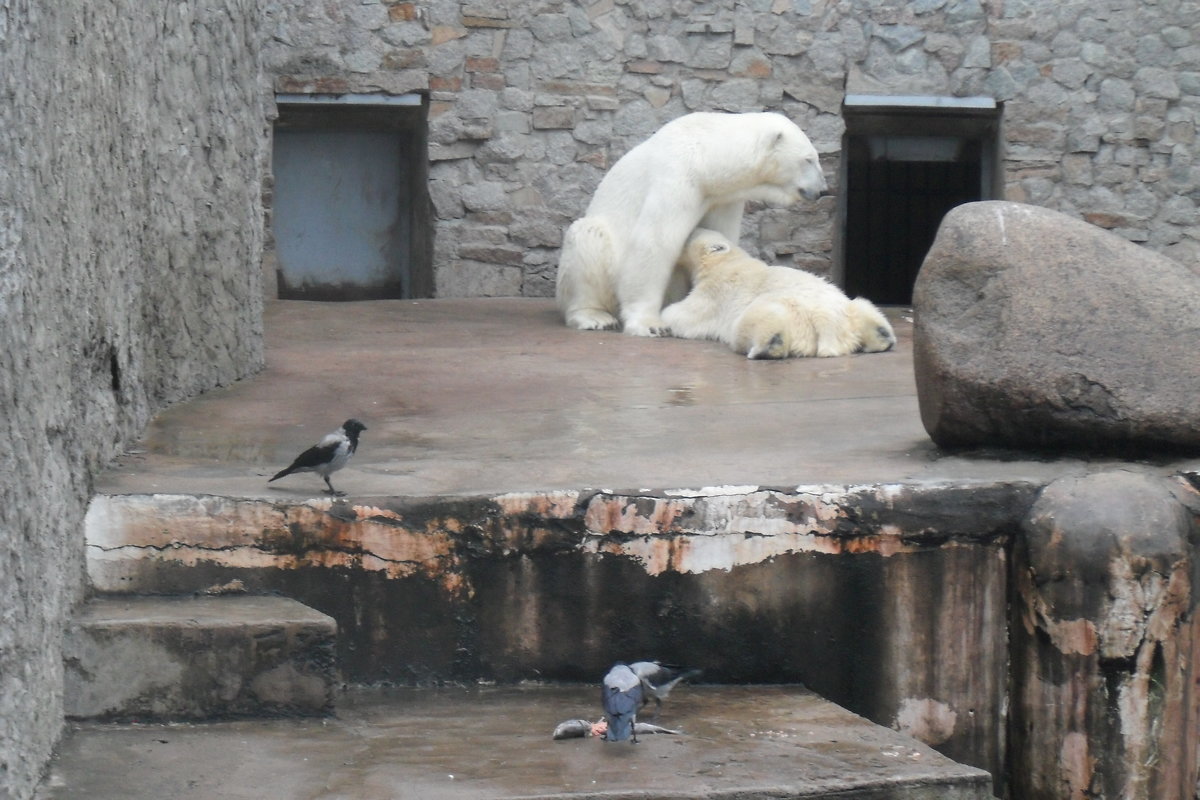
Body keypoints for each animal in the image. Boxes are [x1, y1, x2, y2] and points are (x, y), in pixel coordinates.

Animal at [552, 110, 825, 335]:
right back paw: (595, 317)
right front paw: (650, 324)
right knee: (588, 236)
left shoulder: (722, 197)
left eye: (816, 158)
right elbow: (654, 243)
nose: (823, 190)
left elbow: (718, 234)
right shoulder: (677, 178)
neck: (706, 155)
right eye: (808, 159)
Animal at [662, 227, 897, 359]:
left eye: (689, 235)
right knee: (865, 308)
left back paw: (768, 347)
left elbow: (687, 314)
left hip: (790, 312)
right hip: (848, 310)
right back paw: (882, 336)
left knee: (756, 320)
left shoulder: (716, 292)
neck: (729, 260)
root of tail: (827, 321)